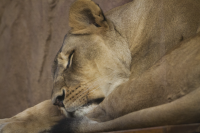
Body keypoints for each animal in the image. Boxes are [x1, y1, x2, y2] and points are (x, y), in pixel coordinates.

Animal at [0, 0, 200, 132]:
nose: (58, 100)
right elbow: (45, 106)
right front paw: (9, 121)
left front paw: (11, 124)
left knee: (104, 113)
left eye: (71, 58)